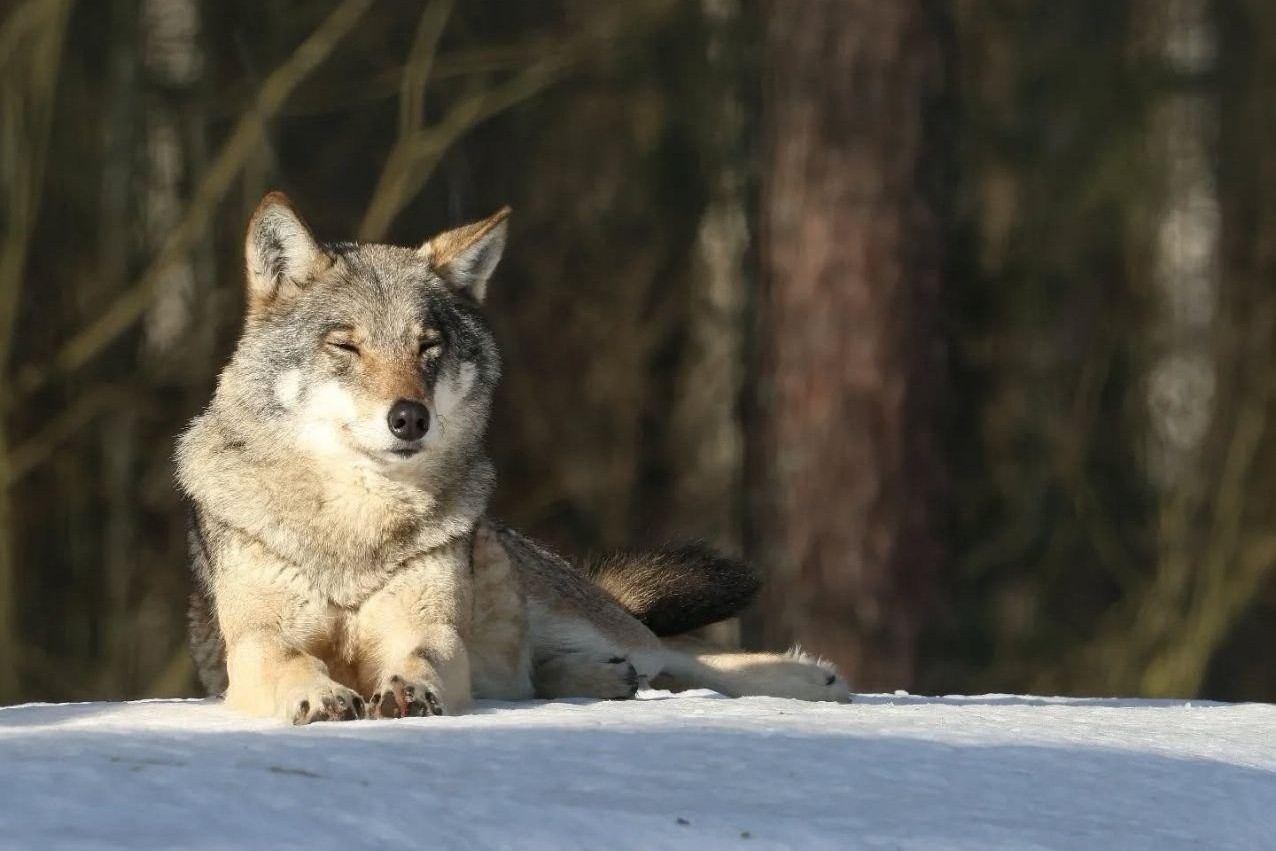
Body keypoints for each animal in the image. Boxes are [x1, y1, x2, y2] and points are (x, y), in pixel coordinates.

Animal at [177, 192, 850, 724]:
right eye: (346, 347)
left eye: (430, 347)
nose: (409, 417)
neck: (357, 526)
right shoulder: (257, 643)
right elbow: (291, 660)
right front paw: (320, 695)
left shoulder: (431, 631)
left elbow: (423, 654)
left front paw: (409, 689)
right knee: (590, 672)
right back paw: (603, 680)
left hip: (579, 618)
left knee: (679, 654)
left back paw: (810, 679)